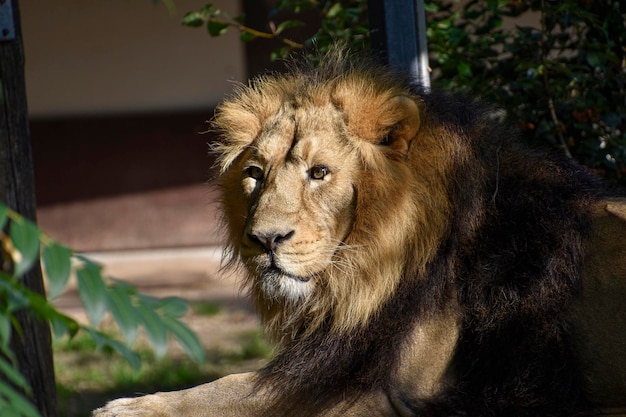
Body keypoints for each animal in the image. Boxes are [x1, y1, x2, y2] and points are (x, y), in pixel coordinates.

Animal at [94, 47, 624, 414]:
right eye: (255, 174)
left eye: (319, 173)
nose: (265, 240)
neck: (367, 273)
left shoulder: (394, 394)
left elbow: (234, 391)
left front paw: (128, 407)